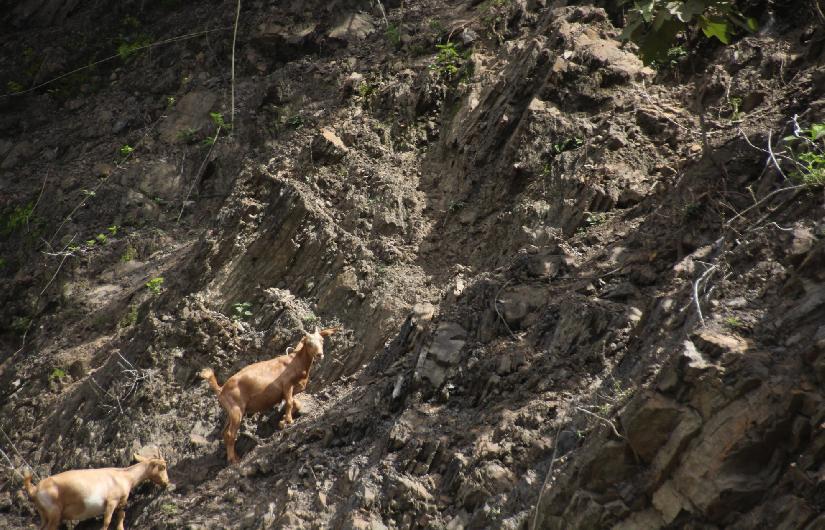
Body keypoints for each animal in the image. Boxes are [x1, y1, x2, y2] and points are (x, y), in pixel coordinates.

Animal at [22, 452, 169, 530]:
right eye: (162, 466)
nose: (166, 482)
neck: (123, 476)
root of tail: (34, 489)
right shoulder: (111, 501)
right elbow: (107, 521)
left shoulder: (121, 503)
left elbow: (121, 516)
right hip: (54, 513)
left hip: (45, 515)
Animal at [200, 326, 340, 464]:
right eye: (308, 343)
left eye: (322, 340)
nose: (319, 355)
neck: (295, 362)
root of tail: (221, 389)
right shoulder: (287, 384)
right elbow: (290, 403)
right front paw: (288, 421)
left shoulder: (289, 391)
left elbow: (295, 403)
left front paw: (283, 421)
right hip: (236, 411)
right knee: (230, 434)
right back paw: (234, 460)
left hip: (230, 412)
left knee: (224, 433)